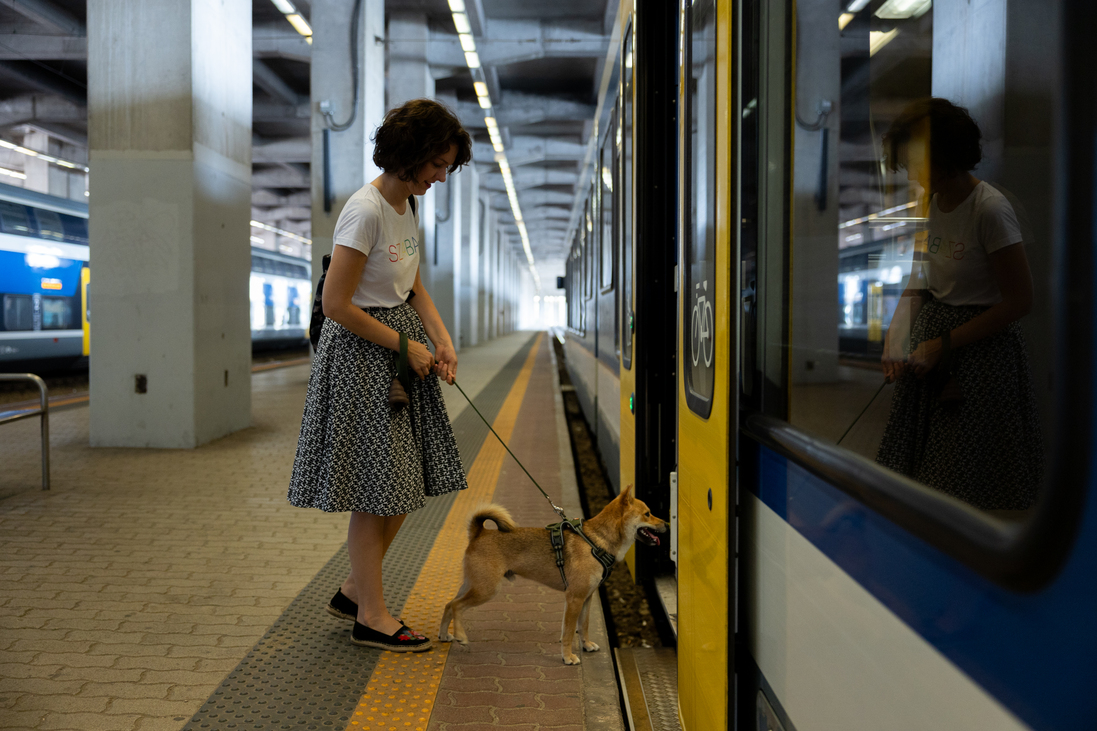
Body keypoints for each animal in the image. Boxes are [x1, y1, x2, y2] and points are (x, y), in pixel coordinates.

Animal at [438, 480, 666, 662]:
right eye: (648, 514)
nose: (666, 524)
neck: (595, 541)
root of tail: (479, 533)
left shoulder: (586, 598)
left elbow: (581, 626)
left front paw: (586, 645)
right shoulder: (575, 598)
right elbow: (569, 633)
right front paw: (568, 657)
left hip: (472, 584)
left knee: (449, 604)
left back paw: (444, 635)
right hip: (486, 589)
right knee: (457, 606)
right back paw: (460, 636)